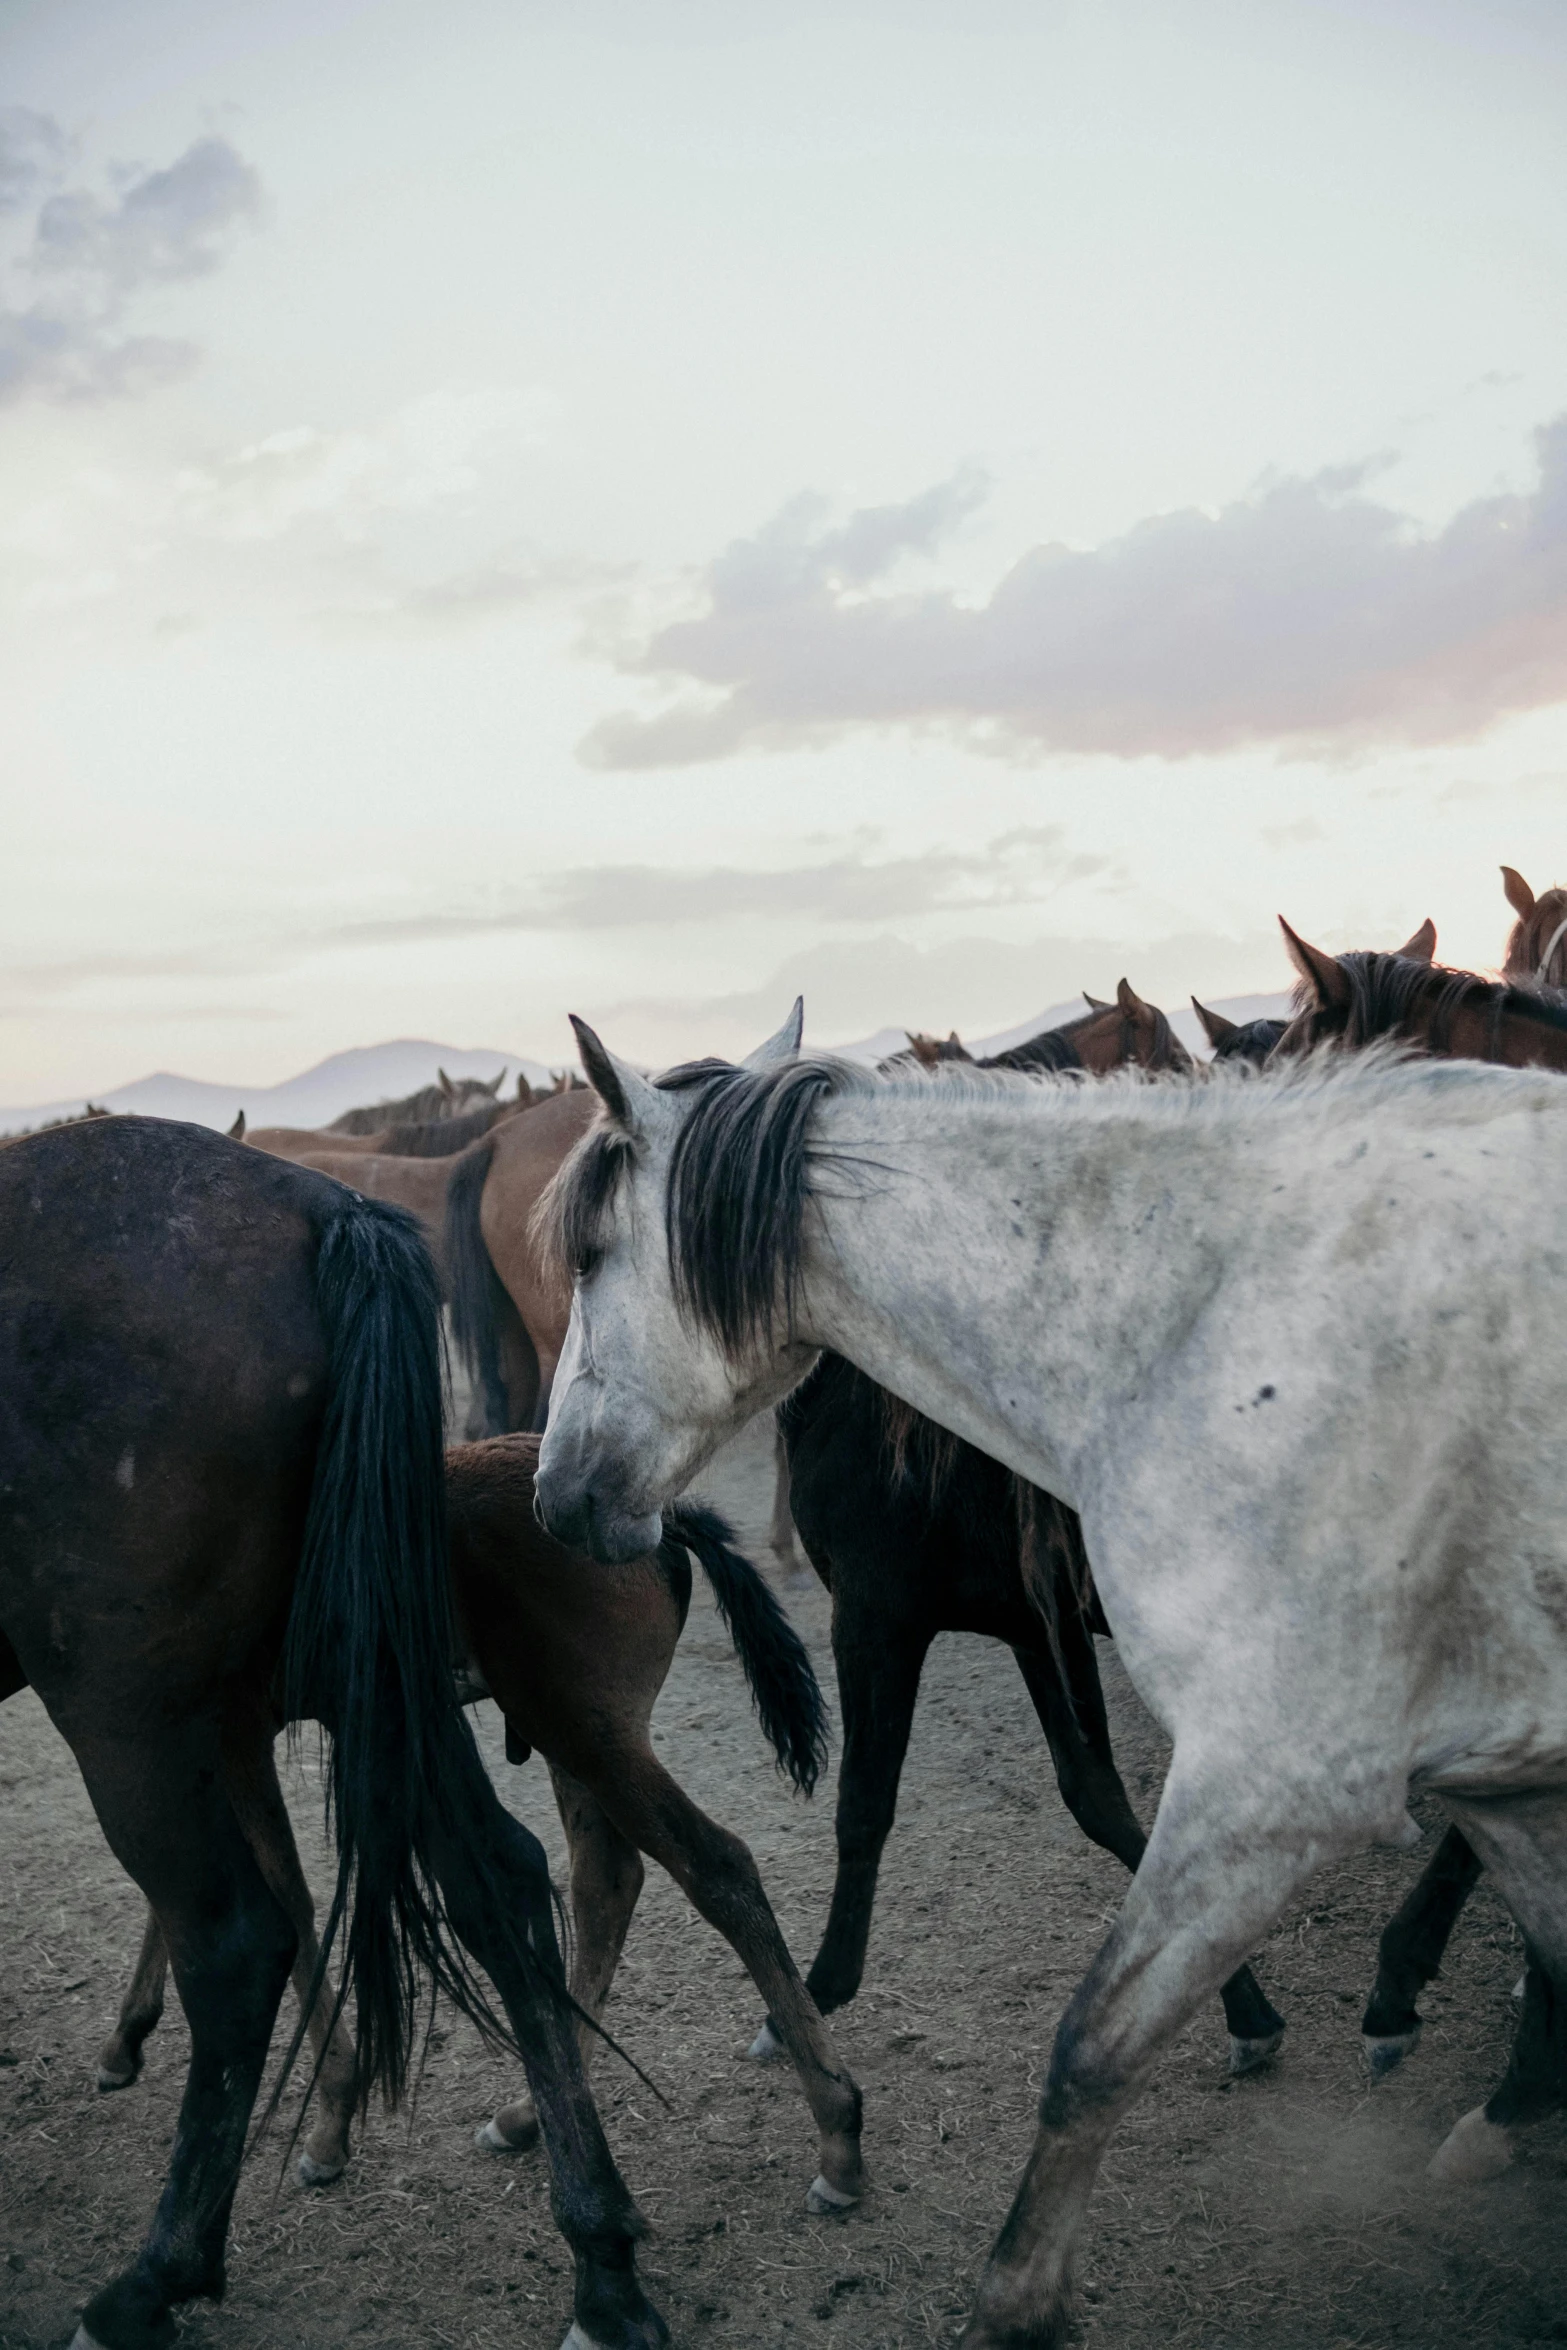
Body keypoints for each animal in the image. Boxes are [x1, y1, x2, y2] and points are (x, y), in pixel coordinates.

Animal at [0, 1113, 667, 2350]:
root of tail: (324, 1211)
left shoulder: (201, 1717)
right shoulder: (244, 1713)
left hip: (121, 1708)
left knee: (234, 1940)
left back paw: (154, 2277)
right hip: (378, 1671)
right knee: (499, 1883)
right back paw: (601, 2259)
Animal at [95, 1428, 869, 2218]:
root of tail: (662, 1517)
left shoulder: (231, 1731)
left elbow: (275, 1896)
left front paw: (328, 2123)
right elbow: (183, 1897)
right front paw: (127, 2038)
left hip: (588, 1733)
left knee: (717, 1869)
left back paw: (837, 2135)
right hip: (570, 1733)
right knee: (607, 1882)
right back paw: (532, 2114)